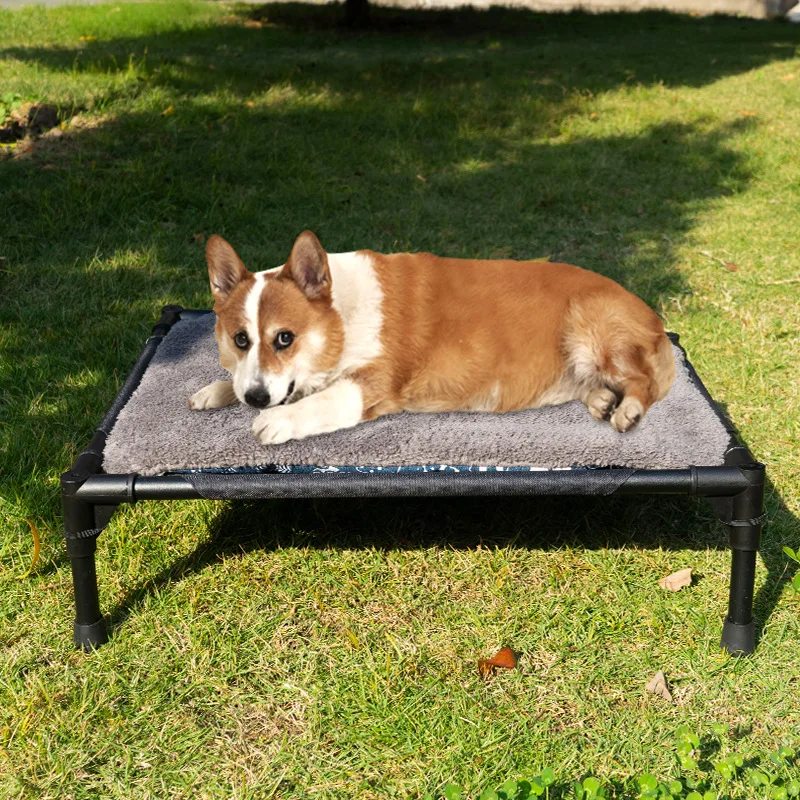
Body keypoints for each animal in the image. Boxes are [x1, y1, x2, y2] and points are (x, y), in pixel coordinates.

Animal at [189, 230, 676, 444]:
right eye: (240, 340)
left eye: (285, 338)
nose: (256, 399)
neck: (341, 317)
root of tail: (651, 315)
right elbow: (235, 381)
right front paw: (215, 392)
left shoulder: (371, 386)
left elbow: (319, 402)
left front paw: (276, 420)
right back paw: (601, 400)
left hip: (590, 327)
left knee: (643, 382)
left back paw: (627, 408)